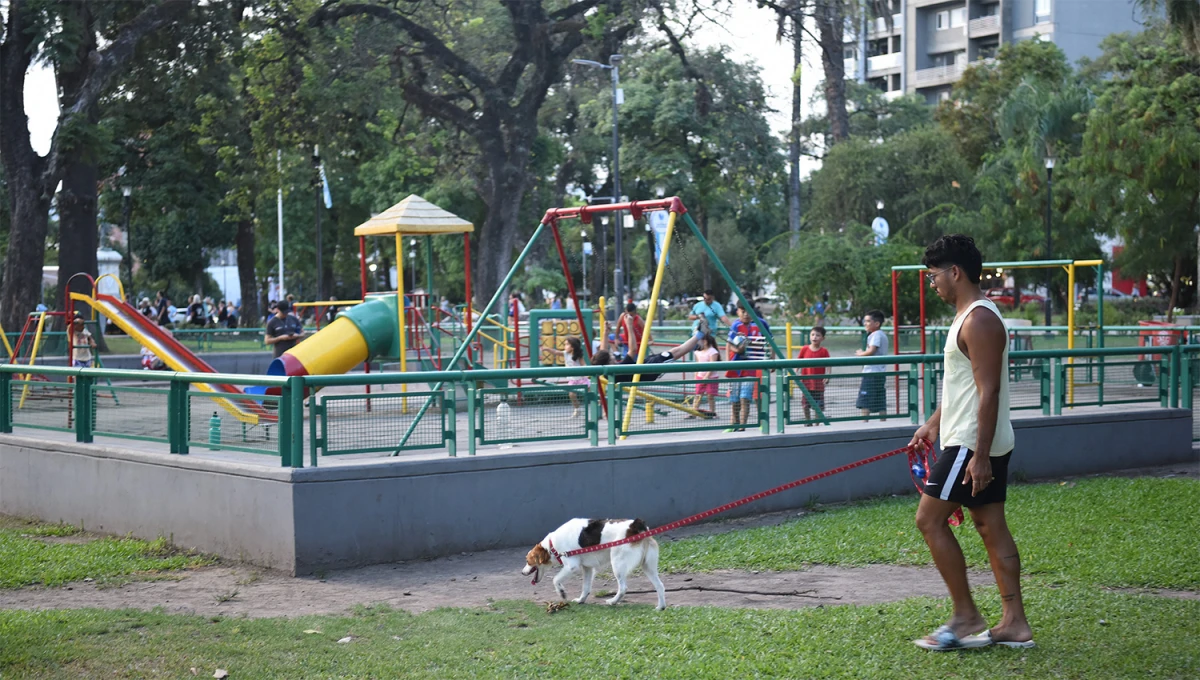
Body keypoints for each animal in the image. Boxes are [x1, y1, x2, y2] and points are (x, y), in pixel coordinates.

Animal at [523, 518, 667, 609]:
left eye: (528, 561)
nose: (522, 572)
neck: (551, 546)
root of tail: (636, 526)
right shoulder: (587, 568)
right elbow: (586, 588)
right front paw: (581, 600)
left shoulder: (572, 566)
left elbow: (555, 579)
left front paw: (562, 592)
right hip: (648, 566)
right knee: (660, 586)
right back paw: (661, 607)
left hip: (618, 564)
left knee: (623, 588)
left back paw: (613, 601)